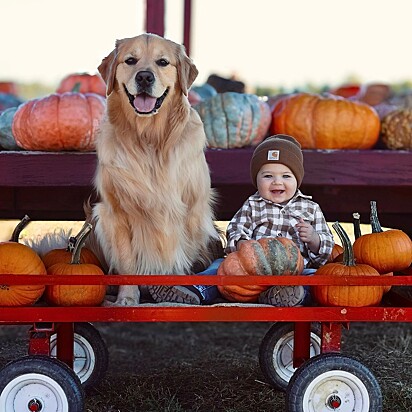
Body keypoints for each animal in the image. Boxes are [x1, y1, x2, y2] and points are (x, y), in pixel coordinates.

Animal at [88, 33, 220, 306]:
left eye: (163, 62)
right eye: (130, 60)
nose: (144, 77)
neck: (149, 139)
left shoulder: (190, 211)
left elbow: (180, 254)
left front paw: (177, 291)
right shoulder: (116, 213)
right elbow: (127, 261)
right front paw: (127, 298)